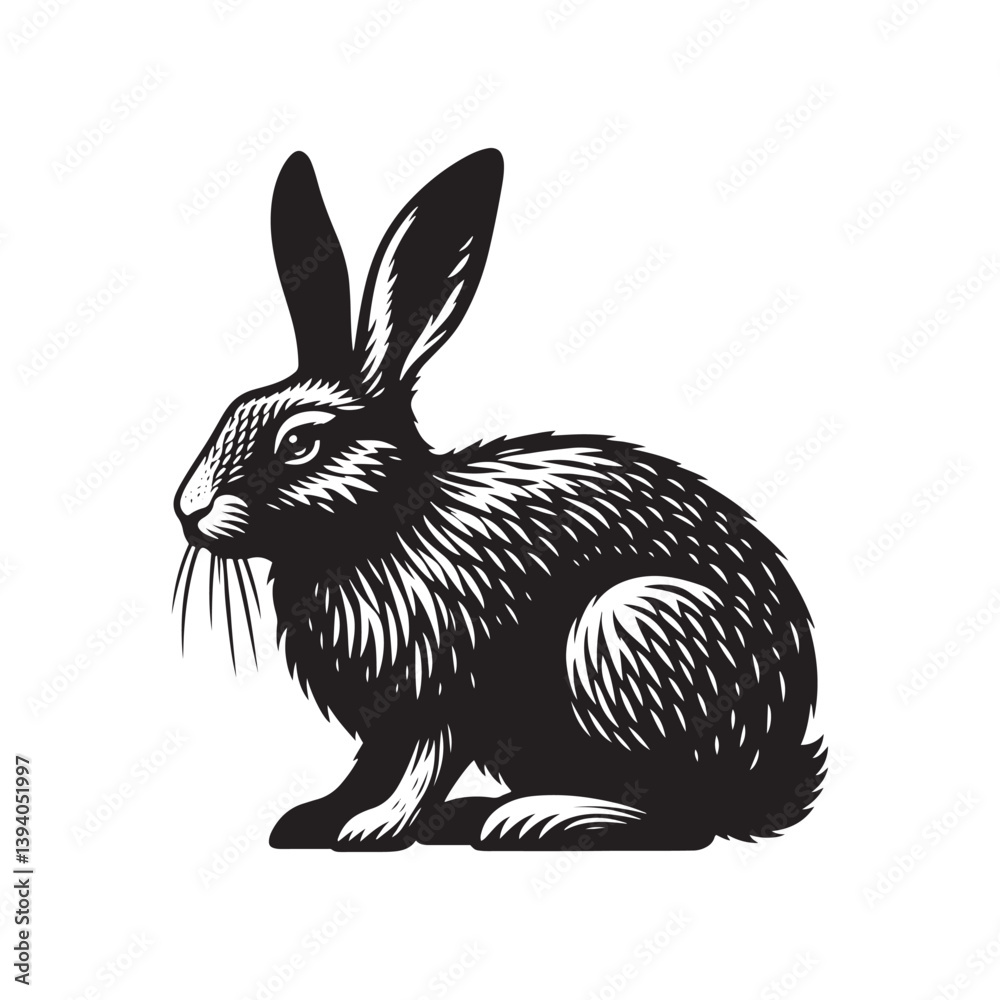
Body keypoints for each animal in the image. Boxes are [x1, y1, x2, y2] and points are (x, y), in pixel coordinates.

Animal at [173, 148, 825, 851]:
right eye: (230, 410)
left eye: (299, 442)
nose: (188, 509)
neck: (376, 526)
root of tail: (768, 778)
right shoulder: (386, 715)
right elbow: (369, 766)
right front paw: (315, 817)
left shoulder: (448, 685)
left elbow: (423, 764)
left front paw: (374, 828)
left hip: (626, 629)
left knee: (680, 817)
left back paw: (538, 816)